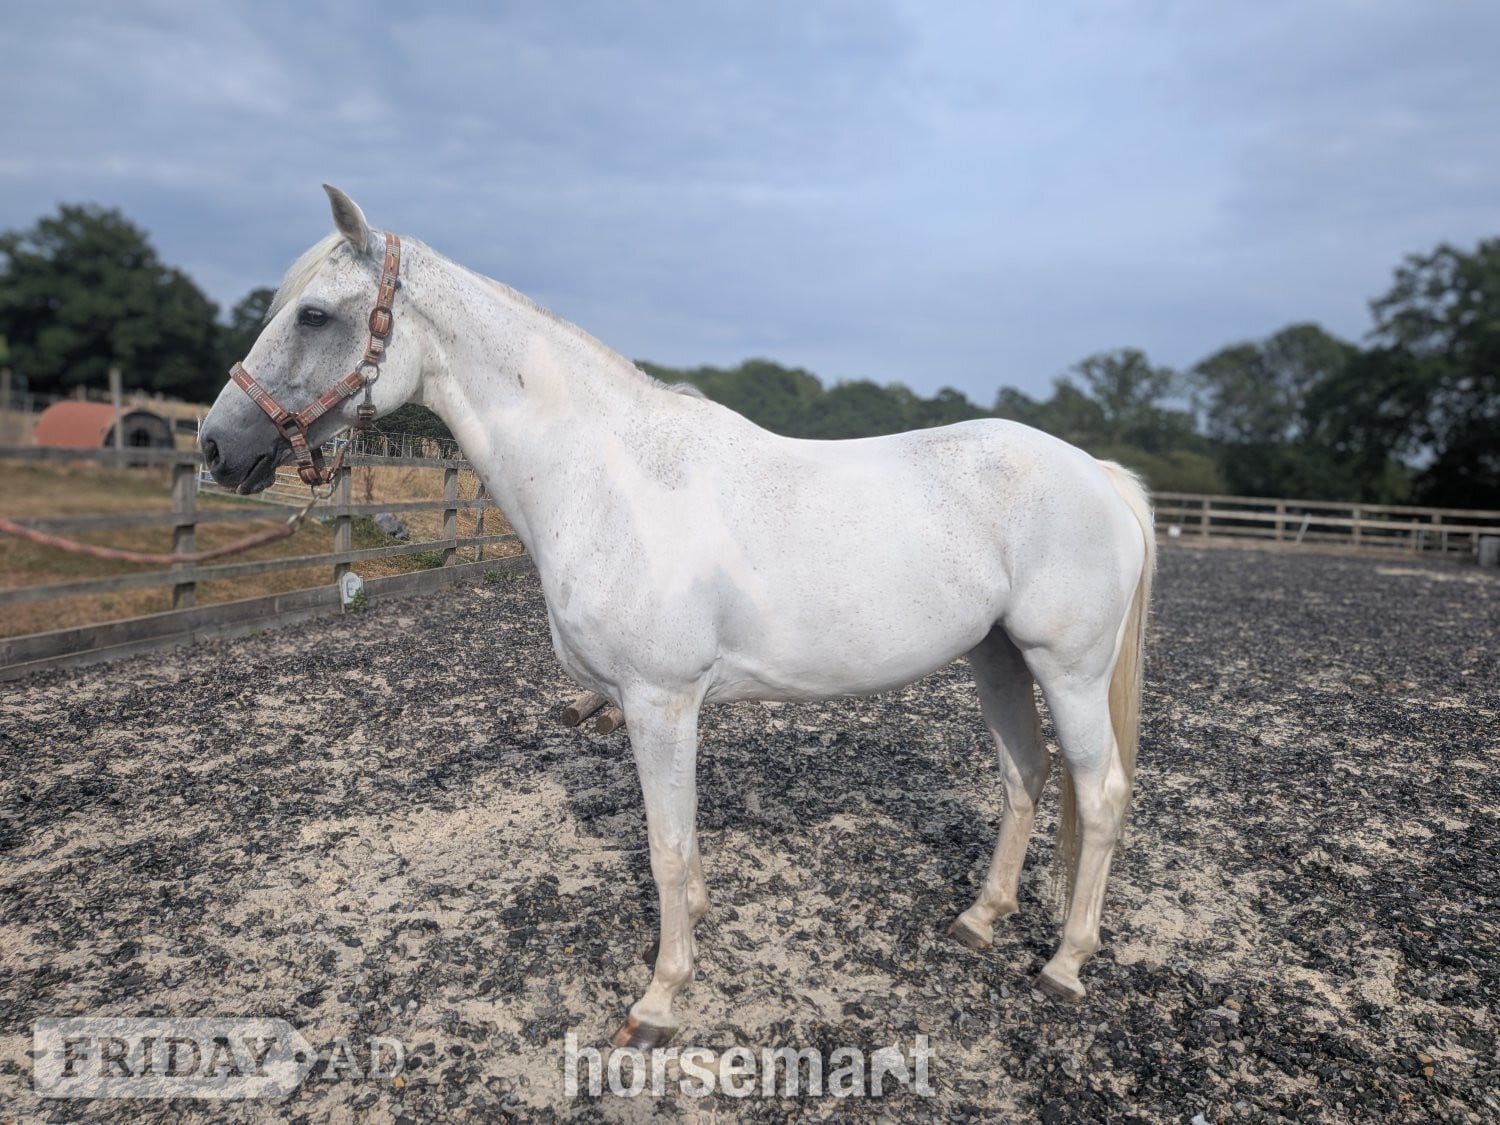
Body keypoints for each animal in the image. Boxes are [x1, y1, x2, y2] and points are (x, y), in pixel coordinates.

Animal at [200, 186, 1155, 1049]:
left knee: (1101, 793)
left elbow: (663, 844)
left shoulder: (659, 700)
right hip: (998, 657)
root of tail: (1099, 476)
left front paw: (660, 999)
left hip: (1067, 668)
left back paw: (1065, 962)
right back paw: (979, 920)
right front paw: (692, 925)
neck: (610, 476)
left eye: (315, 315)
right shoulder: (663, 707)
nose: (219, 446)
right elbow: (684, 840)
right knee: (1025, 776)